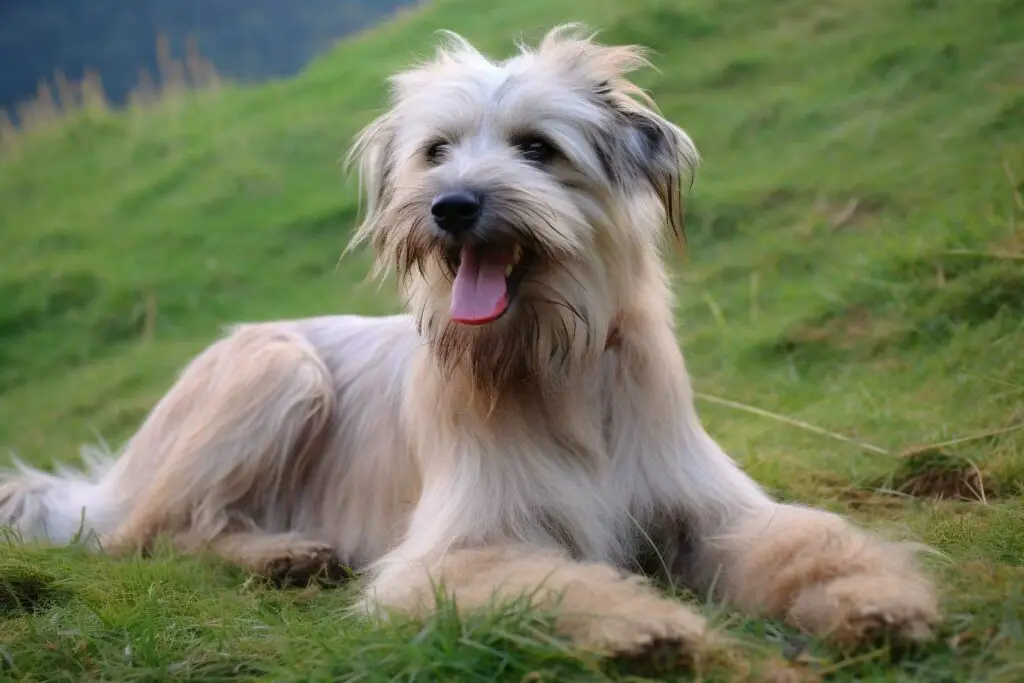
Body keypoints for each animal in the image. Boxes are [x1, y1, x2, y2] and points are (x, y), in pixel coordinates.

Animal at [4, 25, 937, 667]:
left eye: (538, 148)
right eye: (435, 150)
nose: (449, 205)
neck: (554, 364)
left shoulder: (708, 505)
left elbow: (804, 542)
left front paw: (877, 599)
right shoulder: (457, 546)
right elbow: (545, 576)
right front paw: (645, 624)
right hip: (276, 368)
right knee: (156, 531)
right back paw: (279, 552)